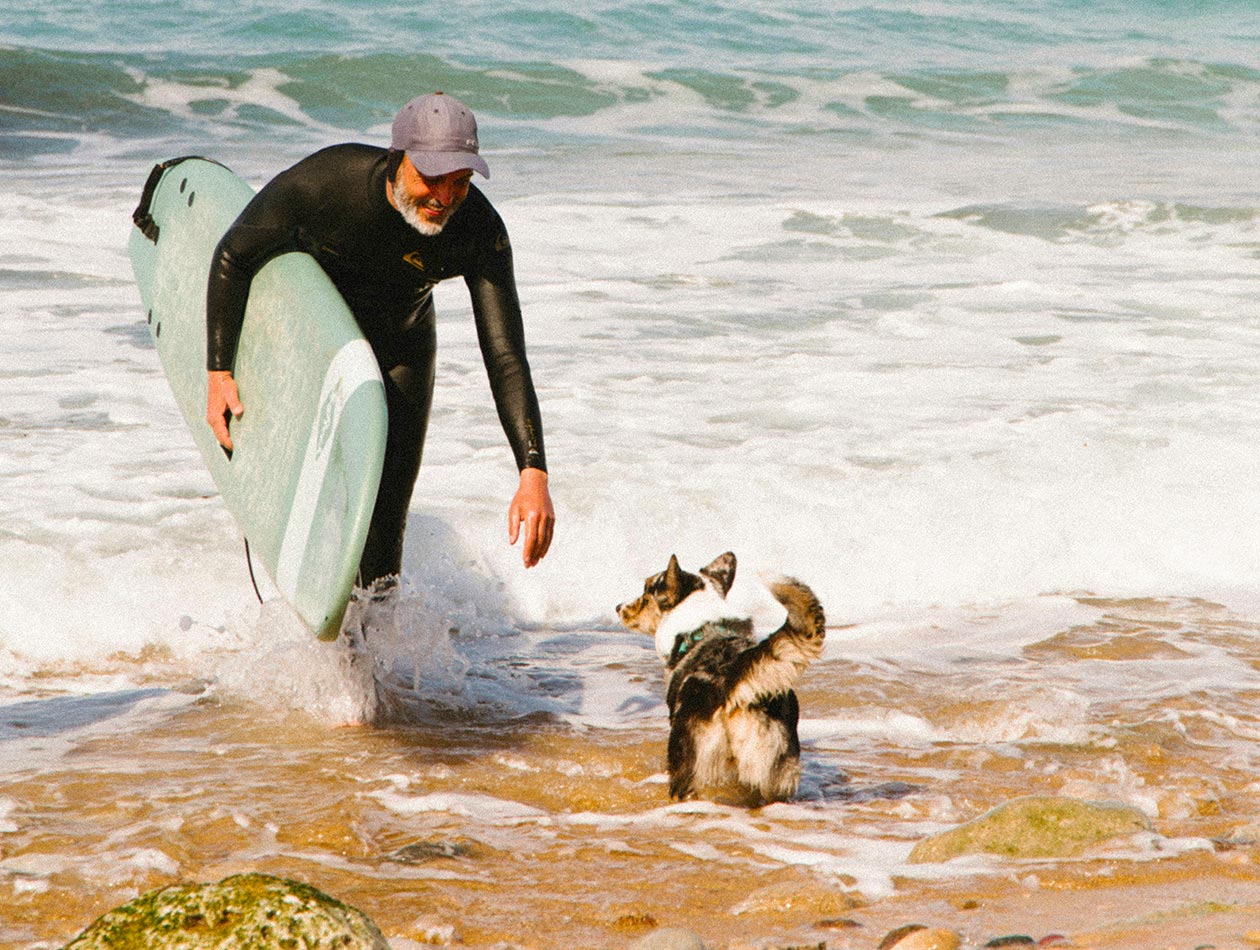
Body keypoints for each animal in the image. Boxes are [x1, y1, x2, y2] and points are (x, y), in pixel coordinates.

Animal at [612, 551, 826, 801]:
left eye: (647, 591)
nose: (617, 607)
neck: (701, 626)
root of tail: (733, 675)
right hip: (774, 769)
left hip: (692, 760)